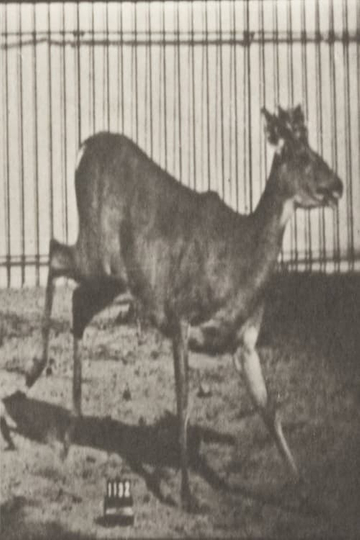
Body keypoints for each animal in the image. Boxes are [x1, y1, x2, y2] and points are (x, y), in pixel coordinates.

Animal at [23, 105, 342, 510]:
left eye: (316, 150)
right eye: (303, 157)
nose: (339, 185)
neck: (239, 259)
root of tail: (84, 147)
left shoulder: (244, 343)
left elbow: (270, 411)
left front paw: (305, 491)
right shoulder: (180, 317)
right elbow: (185, 406)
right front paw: (188, 494)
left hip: (113, 278)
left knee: (77, 302)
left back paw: (67, 438)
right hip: (97, 251)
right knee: (53, 254)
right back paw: (33, 372)